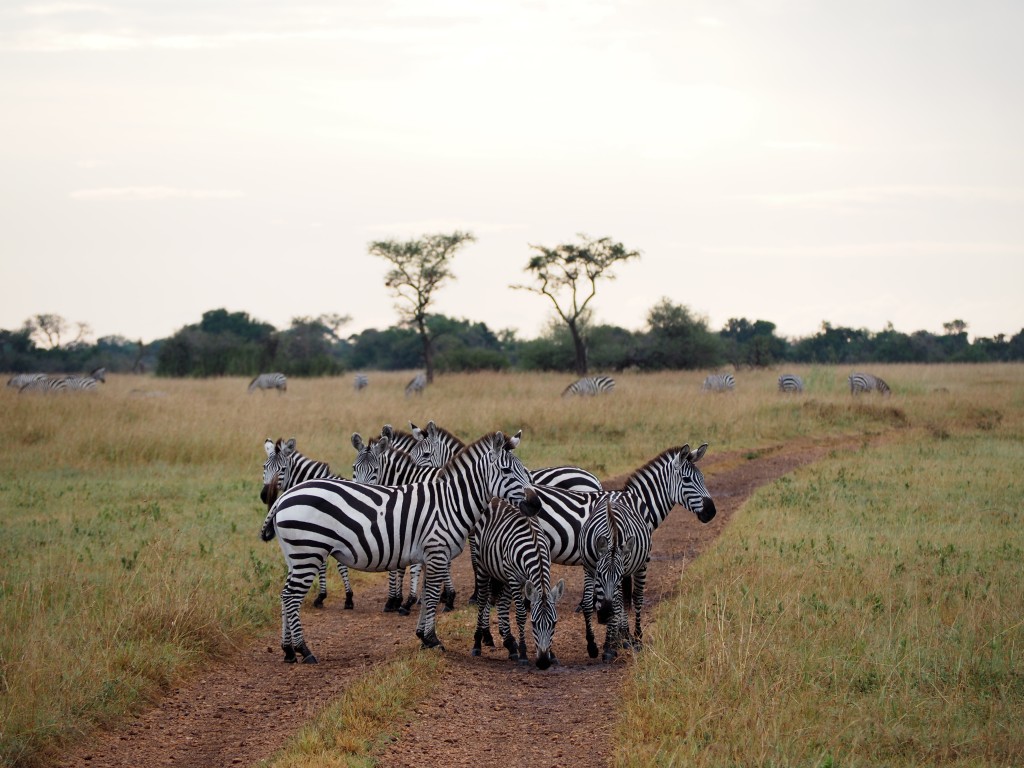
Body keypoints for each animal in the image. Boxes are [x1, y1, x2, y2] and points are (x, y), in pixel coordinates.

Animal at [262, 442, 354, 610]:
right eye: (264, 467)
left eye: (282, 469)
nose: (265, 495)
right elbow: (327, 564)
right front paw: (325, 596)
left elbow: (338, 565)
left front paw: (347, 598)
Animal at [468, 495, 565, 671]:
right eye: (533, 624)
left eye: (554, 624)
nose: (543, 663)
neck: (536, 550)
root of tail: (495, 498)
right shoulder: (514, 578)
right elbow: (520, 615)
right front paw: (524, 654)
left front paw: (552, 654)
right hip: (484, 567)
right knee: (483, 600)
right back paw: (478, 644)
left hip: (504, 576)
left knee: (503, 604)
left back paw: (510, 646)